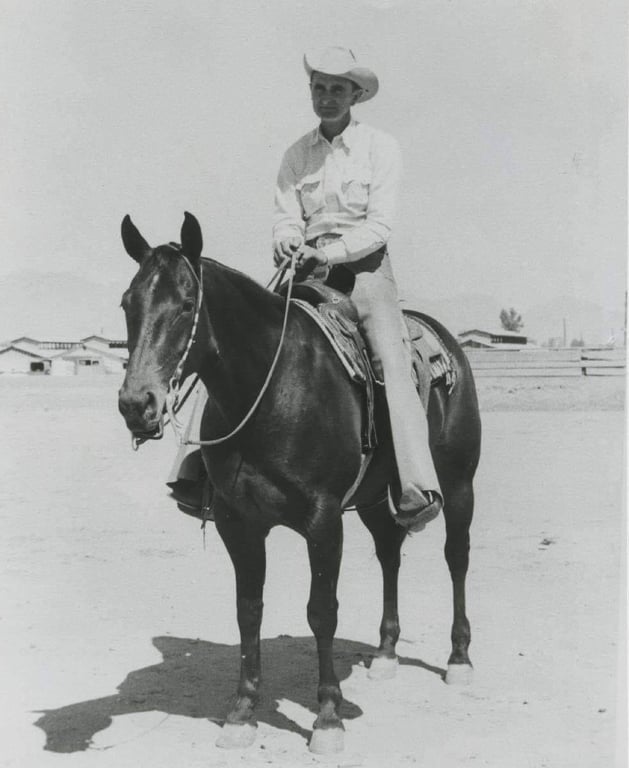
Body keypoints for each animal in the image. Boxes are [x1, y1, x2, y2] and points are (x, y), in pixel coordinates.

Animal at [117, 212, 481, 755]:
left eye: (185, 305)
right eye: (128, 303)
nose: (136, 405)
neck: (271, 389)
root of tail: (446, 341)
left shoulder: (323, 520)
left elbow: (322, 611)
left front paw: (328, 718)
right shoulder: (237, 523)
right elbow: (248, 610)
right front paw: (242, 712)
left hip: (458, 485)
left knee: (456, 557)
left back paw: (459, 660)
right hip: (373, 499)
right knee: (389, 553)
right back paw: (386, 653)